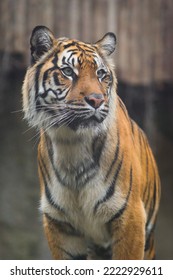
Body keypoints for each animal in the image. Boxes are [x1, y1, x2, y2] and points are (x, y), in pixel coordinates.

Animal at [22, 26, 161, 260]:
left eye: (101, 74)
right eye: (68, 72)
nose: (97, 100)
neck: (71, 145)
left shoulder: (130, 216)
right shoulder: (60, 224)